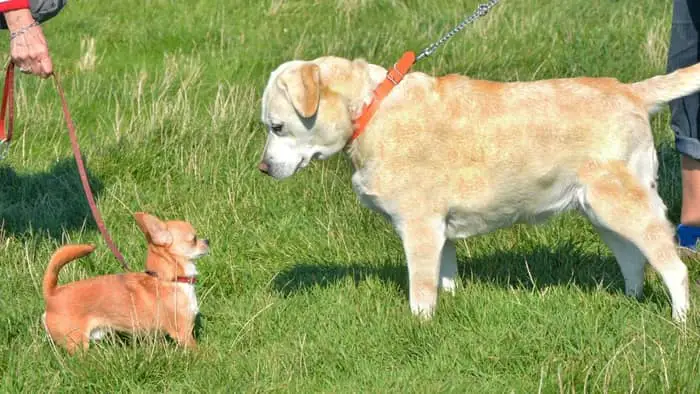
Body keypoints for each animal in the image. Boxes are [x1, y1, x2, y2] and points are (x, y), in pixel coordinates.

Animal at [41, 212, 209, 354]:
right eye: (194, 239)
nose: (207, 240)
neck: (168, 279)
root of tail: (52, 293)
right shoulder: (183, 333)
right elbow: (200, 352)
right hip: (77, 343)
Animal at [258, 54, 696, 320]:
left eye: (277, 126)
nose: (263, 167)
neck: (372, 109)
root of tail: (630, 90)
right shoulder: (441, 230)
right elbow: (445, 274)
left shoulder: (419, 225)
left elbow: (421, 286)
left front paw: (419, 323)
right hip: (601, 209)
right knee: (634, 258)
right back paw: (630, 301)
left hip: (621, 201)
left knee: (672, 265)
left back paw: (679, 319)